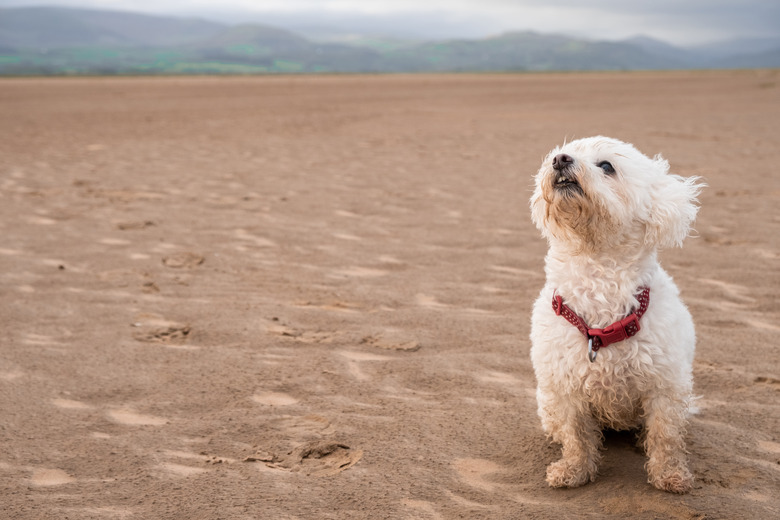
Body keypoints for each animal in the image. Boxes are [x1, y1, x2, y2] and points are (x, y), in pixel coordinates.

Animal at [528, 136, 704, 494]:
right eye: (560, 154)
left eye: (607, 166)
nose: (560, 160)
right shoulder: (565, 387)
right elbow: (576, 435)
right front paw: (574, 470)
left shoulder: (665, 386)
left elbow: (665, 435)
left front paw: (670, 475)